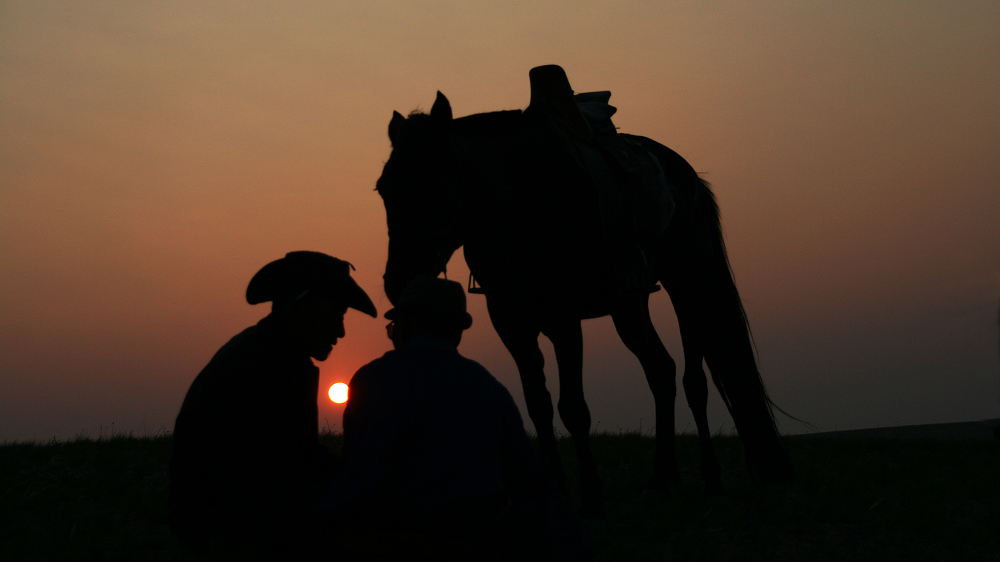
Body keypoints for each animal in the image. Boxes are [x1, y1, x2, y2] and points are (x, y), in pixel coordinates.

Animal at [378, 68, 792, 516]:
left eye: (435, 181)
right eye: (384, 188)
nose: (397, 281)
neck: (521, 200)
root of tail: (688, 178)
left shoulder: (563, 319)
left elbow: (573, 407)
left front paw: (591, 493)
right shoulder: (511, 322)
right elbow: (538, 405)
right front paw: (553, 491)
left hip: (688, 286)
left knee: (694, 381)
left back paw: (712, 483)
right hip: (630, 305)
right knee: (661, 372)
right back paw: (660, 481)